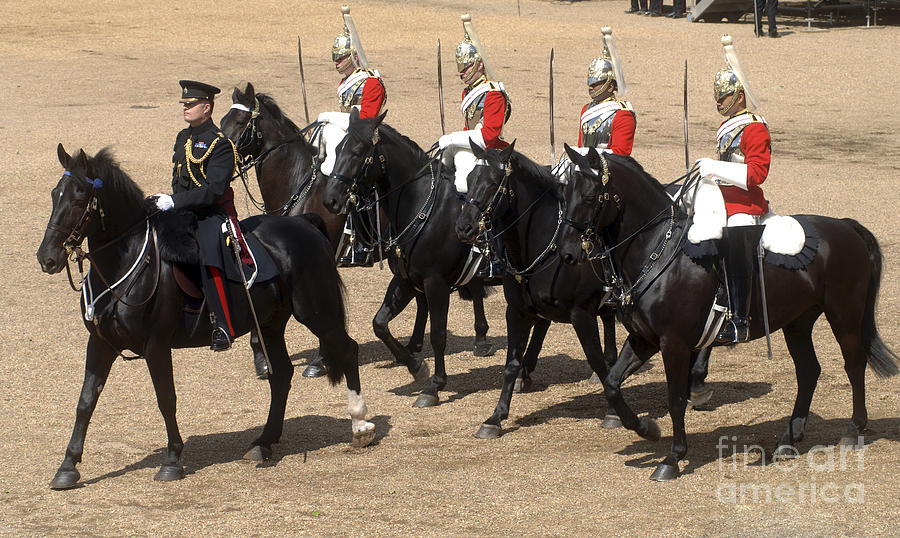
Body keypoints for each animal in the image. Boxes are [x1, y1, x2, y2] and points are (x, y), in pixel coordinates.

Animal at [37, 144, 374, 488]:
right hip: (269, 324)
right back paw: (263, 442)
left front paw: (172, 460)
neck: (124, 262)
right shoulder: (100, 344)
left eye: (80, 198)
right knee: (281, 374)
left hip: (317, 312)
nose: (46, 258)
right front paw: (67, 466)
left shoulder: (156, 345)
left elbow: (166, 399)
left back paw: (360, 426)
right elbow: (85, 402)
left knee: (347, 350)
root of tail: (304, 223)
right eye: (54, 194)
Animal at [322, 110, 536, 406]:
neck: (423, 207)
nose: (330, 199)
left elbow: (438, 335)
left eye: (356, 152)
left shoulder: (436, 284)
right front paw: (416, 367)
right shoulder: (405, 280)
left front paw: (434, 386)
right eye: (337, 149)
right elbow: (380, 324)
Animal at [454, 141, 624, 436]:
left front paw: (614, 412)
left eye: (494, 182)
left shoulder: (582, 315)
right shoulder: (516, 311)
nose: (464, 227)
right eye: (470, 178)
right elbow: (510, 364)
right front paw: (496, 417)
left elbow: (599, 363)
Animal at [560, 146, 896, 478]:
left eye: (589, 197)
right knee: (809, 370)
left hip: (844, 316)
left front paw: (672, 458)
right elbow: (612, 384)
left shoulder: (674, 343)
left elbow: (675, 398)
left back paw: (853, 430)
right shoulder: (645, 339)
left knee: (854, 365)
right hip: (797, 323)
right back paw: (789, 439)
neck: (659, 252)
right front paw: (646, 428)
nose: (567, 253)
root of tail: (845, 226)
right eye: (564, 195)